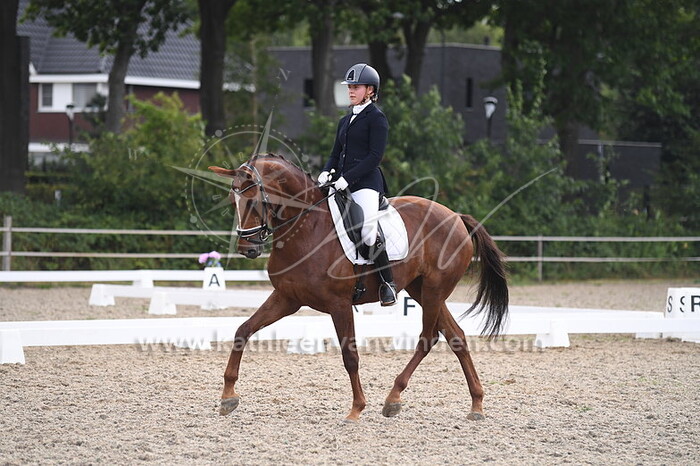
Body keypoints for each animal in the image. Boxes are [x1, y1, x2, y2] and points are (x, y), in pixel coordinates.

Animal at [209, 153, 508, 422]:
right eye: (234, 201)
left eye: (255, 201)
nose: (247, 249)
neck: (307, 228)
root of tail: (456, 217)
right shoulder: (287, 298)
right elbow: (243, 331)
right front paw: (228, 397)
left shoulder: (339, 304)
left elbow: (350, 355)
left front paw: (356, 409)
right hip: (420, 290)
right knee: (455, 336)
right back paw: (475, 404)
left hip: (434, 290)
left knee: (428, 337)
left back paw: (393, 398)